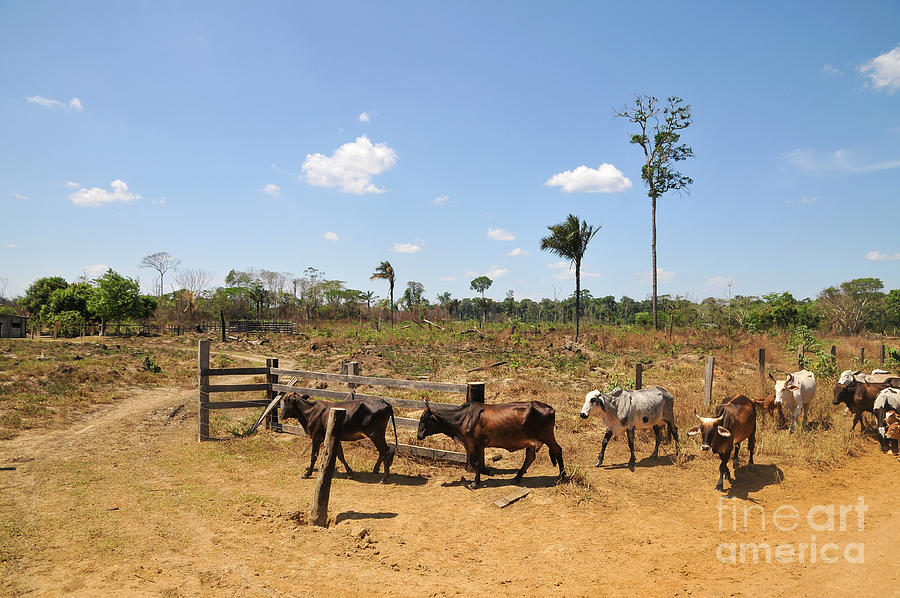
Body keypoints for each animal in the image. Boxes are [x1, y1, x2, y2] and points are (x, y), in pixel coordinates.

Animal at [416, 400, 565, 490]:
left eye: (424, 419)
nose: (419, 435)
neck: (462, 418)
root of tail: (549, 407)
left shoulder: (476, 445)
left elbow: (476, 463)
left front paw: (475, 483)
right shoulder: (474, 446)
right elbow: (474, 462)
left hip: (547, 435)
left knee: (557, 450)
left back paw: (562, 476)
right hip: (531, 440)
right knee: (530, 457)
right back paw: (517, 477)